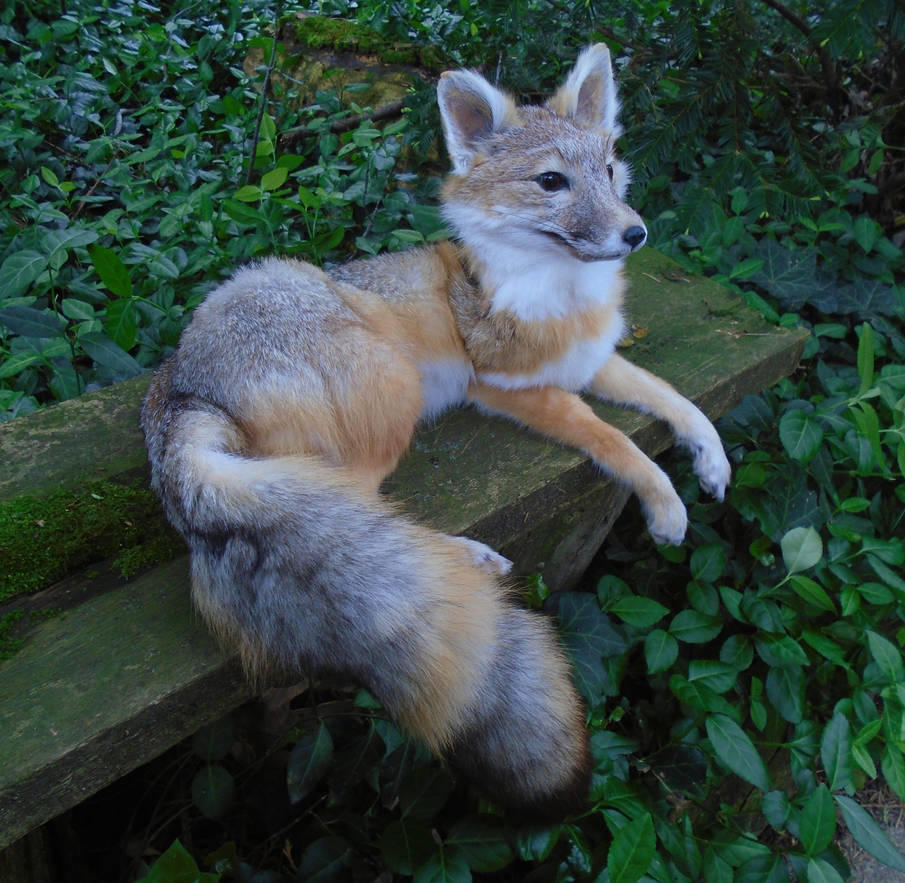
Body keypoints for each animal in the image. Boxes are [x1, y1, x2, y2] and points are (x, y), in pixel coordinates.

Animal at [140, 44, 730, 815]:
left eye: (608, 170)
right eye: (551, 181)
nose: (636, 233)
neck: (556, 290)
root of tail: (178, 387)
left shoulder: (589, 361)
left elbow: (677, 399)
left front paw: (711, 458)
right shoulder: (509, 387)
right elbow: (619, 441)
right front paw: (665, 502)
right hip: (394, 386)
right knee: (356, 510)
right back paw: (467, 557)